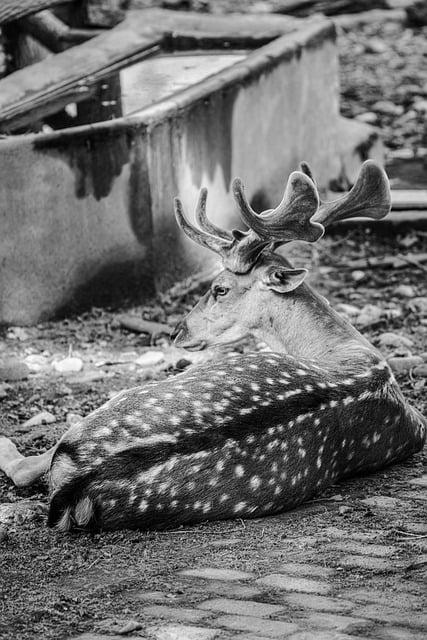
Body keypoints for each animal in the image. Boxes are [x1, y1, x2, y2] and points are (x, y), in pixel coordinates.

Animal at [0, 160, 426, 528]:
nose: (178, 332)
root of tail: (79, 483)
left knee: (28, 466)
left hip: (113, 402)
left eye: (219, 288)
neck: (344, 348)